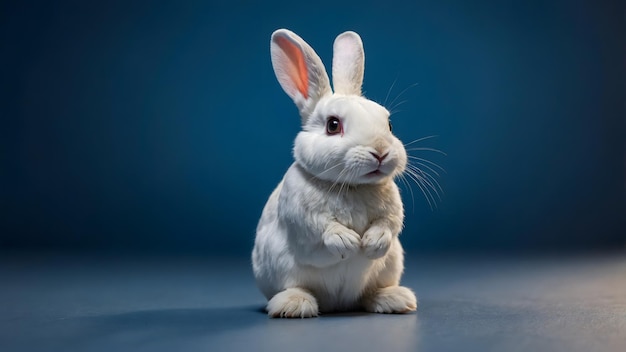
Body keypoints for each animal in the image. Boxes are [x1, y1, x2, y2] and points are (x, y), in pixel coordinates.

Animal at [251, 28, 416, 318]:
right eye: (333, 125)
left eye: (389, 124)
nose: (381, 152)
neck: (351, 186)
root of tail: (339, 304)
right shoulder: (303, 220)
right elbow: (323, 232)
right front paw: (349, 241)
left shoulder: (392, 214)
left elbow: (388, 226)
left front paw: (371, 243)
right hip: (280, 271)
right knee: (295, 288)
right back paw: (293, 305)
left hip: (390, 265)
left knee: (370, 294)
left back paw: (394, 299)